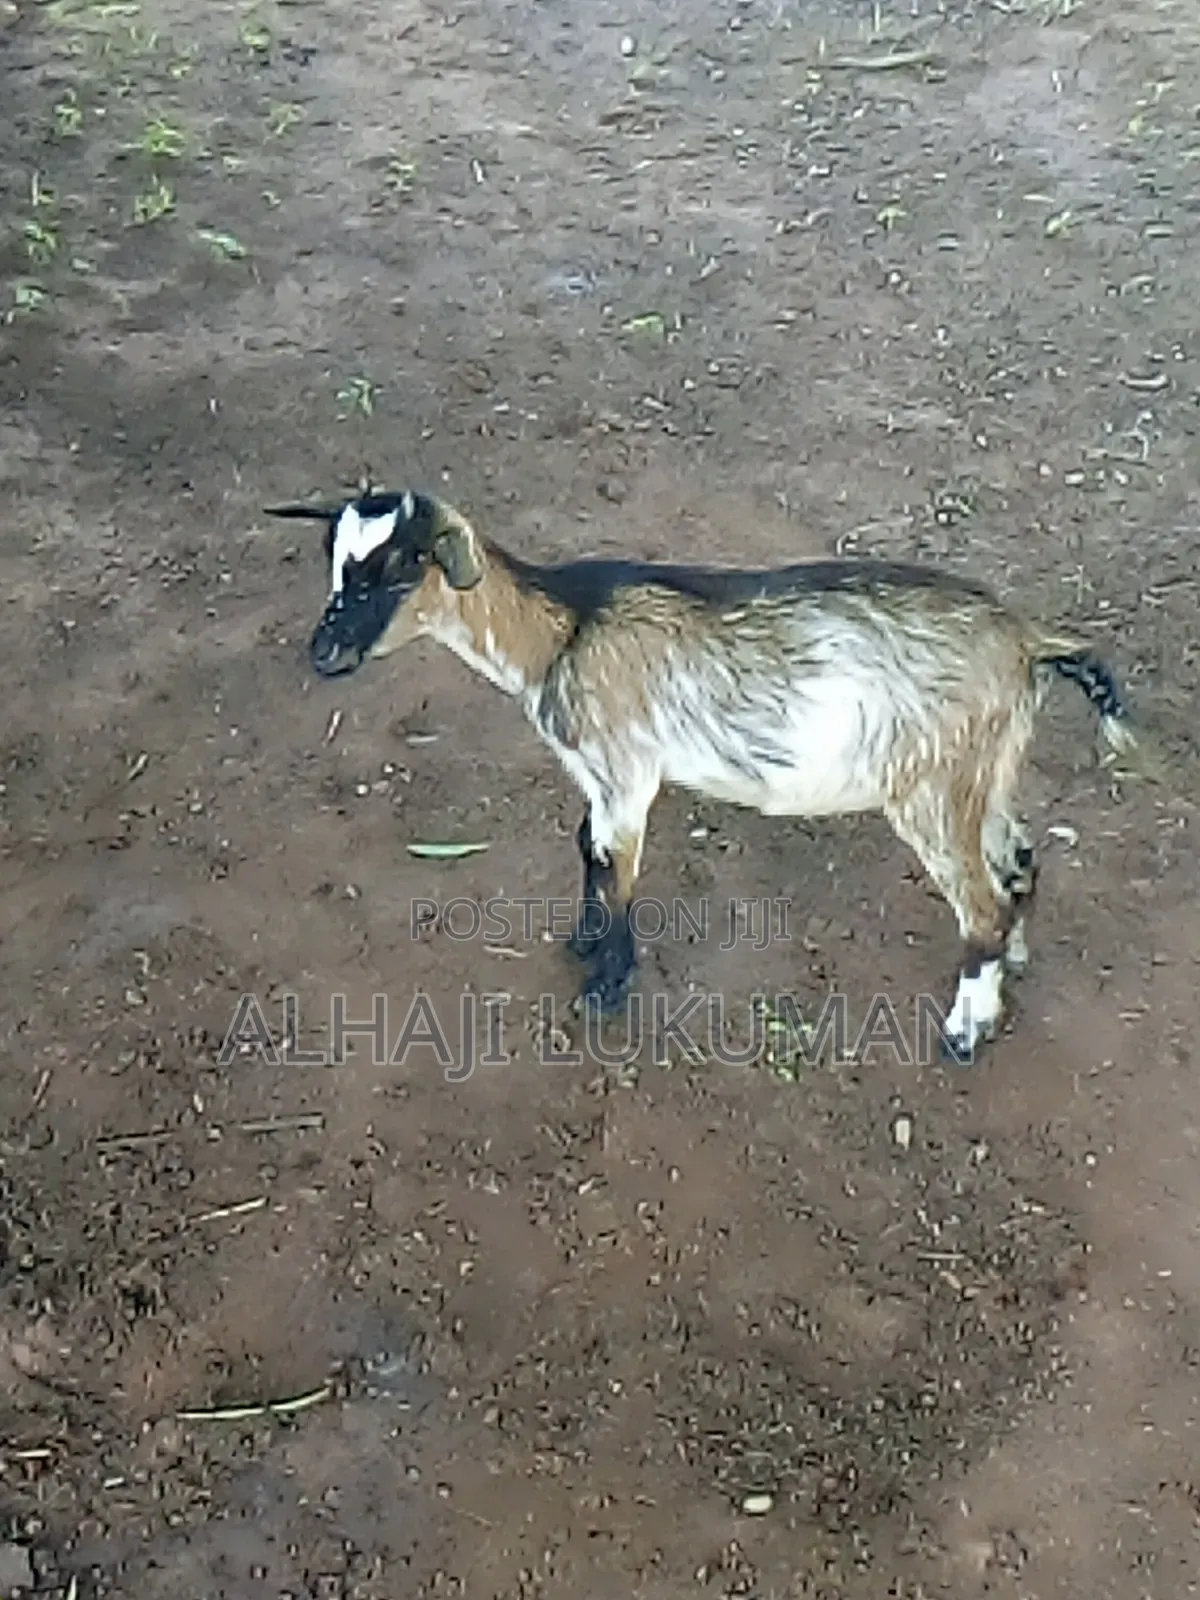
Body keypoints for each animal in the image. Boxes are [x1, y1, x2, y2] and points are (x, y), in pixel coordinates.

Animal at [267, 487, 1146, 1063]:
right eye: (335, 566)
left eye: (397, 569)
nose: (325, 654)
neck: (561, 630)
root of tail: (1029, 643)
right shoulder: (595, 774)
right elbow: (587, 849)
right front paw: (583, 942)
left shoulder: (627, 769)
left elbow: (618, 867)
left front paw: (608, 986)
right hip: (984, 771)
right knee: (1017, 863)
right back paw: (1010, 969)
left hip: (929, 787)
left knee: (982, 905)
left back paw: (966, 1030)